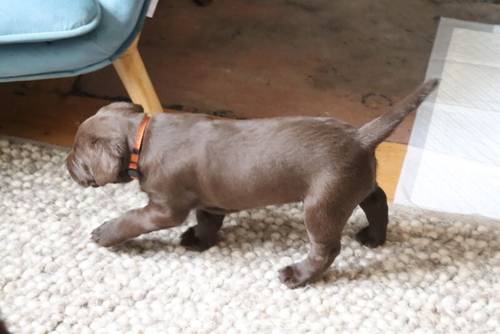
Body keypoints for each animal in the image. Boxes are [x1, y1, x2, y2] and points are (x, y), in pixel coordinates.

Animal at [65, 79, 438, 288]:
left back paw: (298, 275)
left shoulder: (164, 208)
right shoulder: (210, 201)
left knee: (328, 248)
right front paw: (199, 241)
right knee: (376, 201)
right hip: (353, 185)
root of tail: (360, 137)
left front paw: (104, 233)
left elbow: (132, 219)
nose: (66, 166)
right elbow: (208, 222)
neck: (142, 138)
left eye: (78, 156)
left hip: (322, 203)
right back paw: (374, 238)